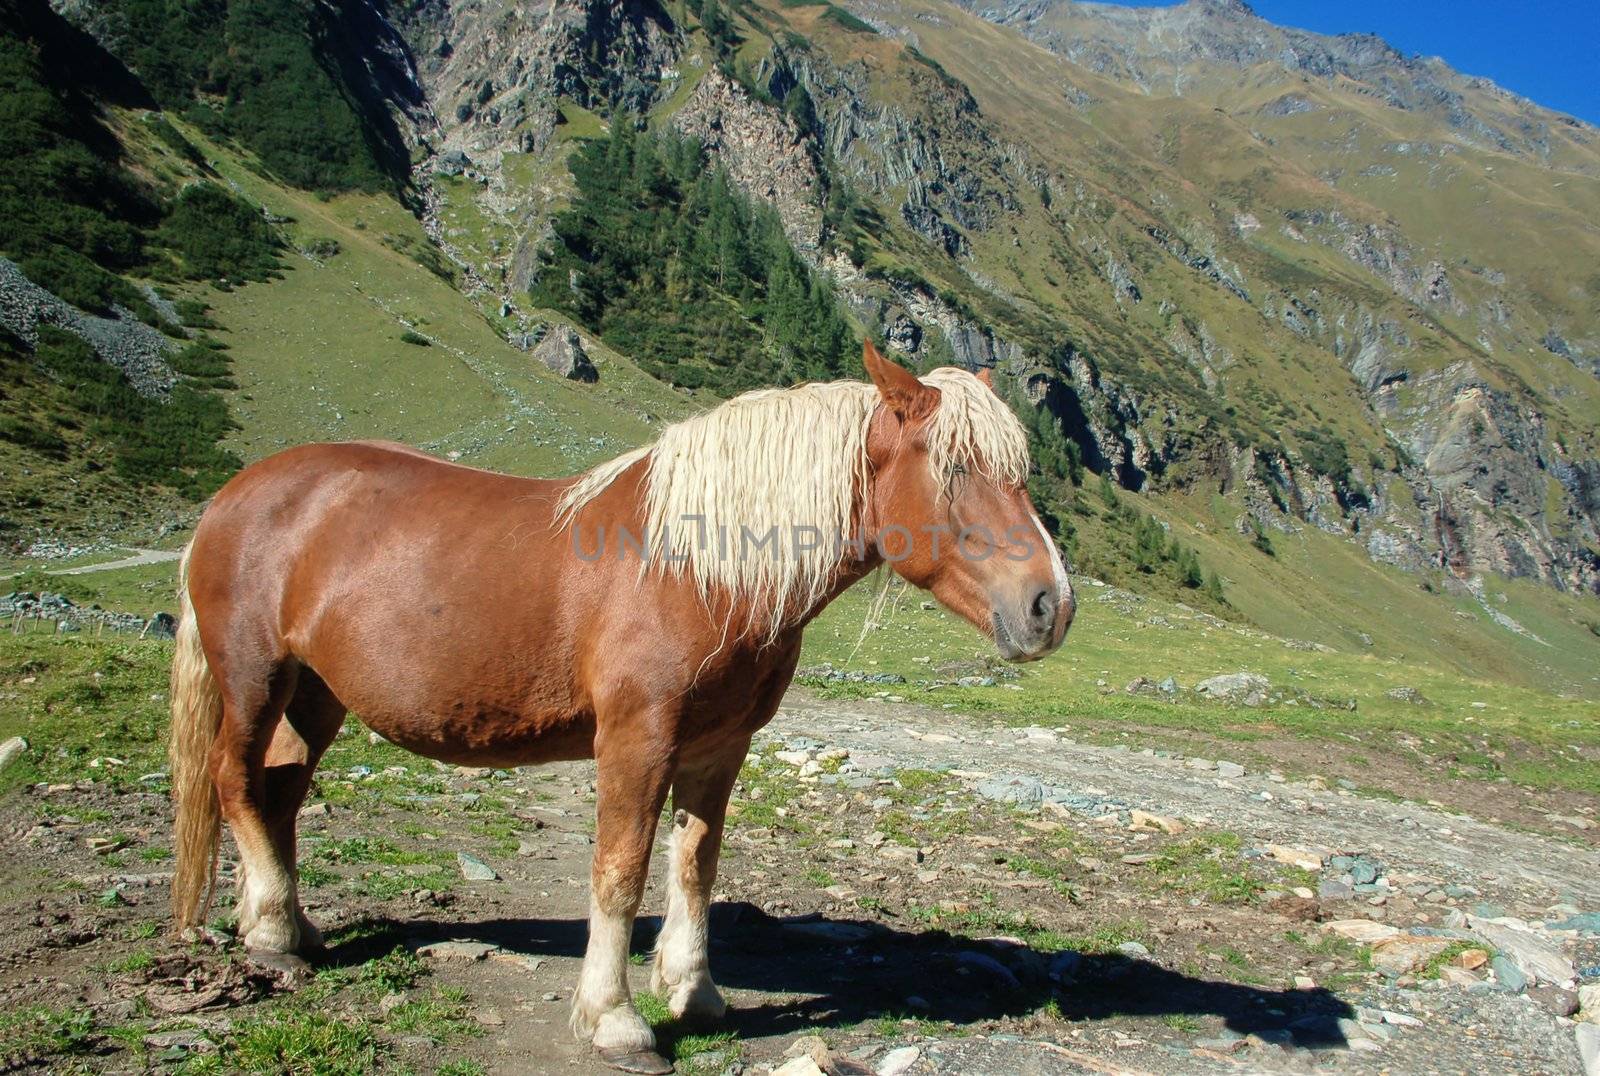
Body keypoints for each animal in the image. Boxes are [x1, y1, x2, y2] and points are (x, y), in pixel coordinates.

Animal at [168, 341, 1075, 1069]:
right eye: (954, 469)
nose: (1051, 607)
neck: (697, 566)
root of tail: (236, 495)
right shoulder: (636, 741)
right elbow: (621, 870)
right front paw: (614, 1020)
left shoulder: (720, 746)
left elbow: (696, 863)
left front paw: (695, 992)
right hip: (256, 679)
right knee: (234, 782)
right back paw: (275, 937)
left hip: (316, 697)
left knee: (280, 794)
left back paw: (287, 927)